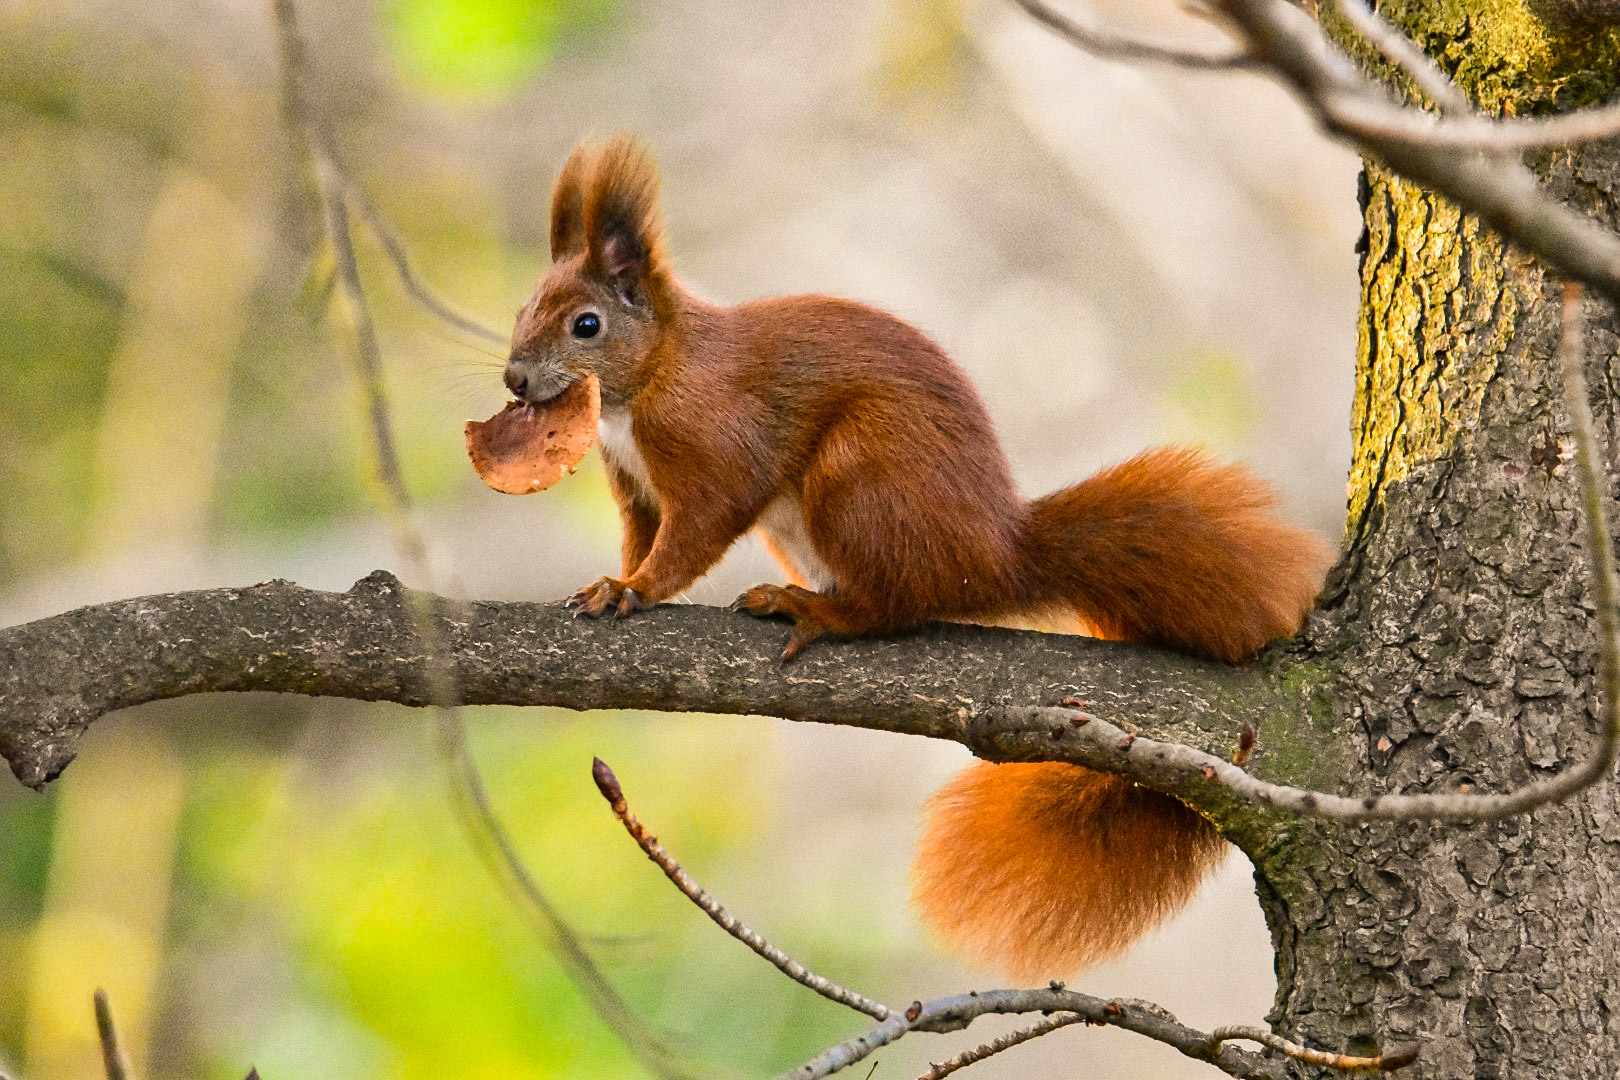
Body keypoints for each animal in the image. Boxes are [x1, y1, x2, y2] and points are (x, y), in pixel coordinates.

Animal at [502, 135, 1328, 977]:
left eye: (587, 325)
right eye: (523, 310)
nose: (514, 378)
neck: (653, 377)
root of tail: (994, 552)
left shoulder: (715, 444)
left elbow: (699, 527)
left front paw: (636, 590)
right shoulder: (635, 488)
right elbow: (642, 533)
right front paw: (615, 579)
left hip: (860, 482)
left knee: (894, 605)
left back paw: (820, 612)